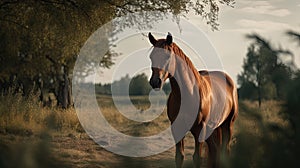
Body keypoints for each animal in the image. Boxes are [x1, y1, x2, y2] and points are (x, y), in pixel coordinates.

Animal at [147, 32, 237, 168]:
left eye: (167, 56)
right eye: (151, 56)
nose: (155, 82)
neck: (189, 94)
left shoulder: (200, 130)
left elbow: (197, 158)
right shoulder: (177, 129)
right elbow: (179, 157)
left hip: (227, 126)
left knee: (224, 151)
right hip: (212, 129)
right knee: (214, 151)